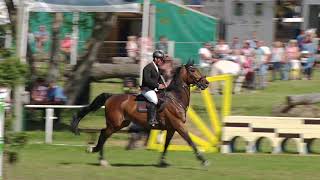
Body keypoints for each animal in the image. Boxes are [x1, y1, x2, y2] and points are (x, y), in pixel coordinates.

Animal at [70, 61, 210, 167]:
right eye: (193, 70)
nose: (206, 83)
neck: (175, 98)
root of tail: (111, 96)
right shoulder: (179, 126)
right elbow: (190, 142)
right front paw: (203, 160)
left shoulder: (171, 128)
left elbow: (166, 145)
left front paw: (162, 162)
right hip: (114, 124)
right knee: (103, 134)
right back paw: (99, 156)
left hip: (121, 123)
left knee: (104, 135)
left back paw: (101, 158)